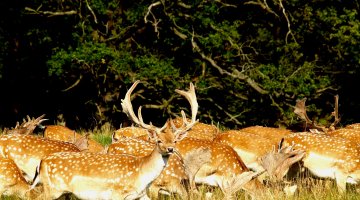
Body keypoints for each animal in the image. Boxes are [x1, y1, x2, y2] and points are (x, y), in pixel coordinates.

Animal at [29, 81, 201, 200]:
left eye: (175, 141)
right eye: (158, 140)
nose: (170, 149)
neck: (141, 175)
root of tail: (41, 163)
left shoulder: (140, 195)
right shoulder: (116, 193)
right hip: (52, 188)